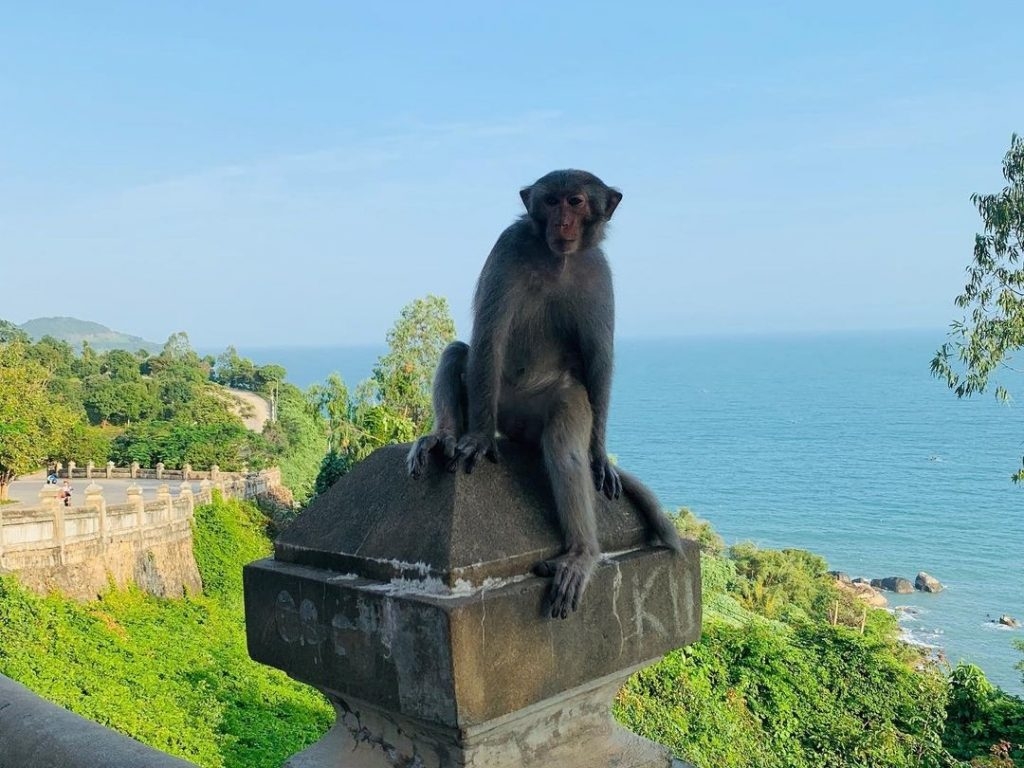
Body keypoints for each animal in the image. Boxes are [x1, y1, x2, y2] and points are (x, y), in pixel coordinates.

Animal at [407, 169, 682, 619]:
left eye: (576, 201)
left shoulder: (597, 271)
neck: (558, 259)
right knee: (459, 353)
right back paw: (443, 436)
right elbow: (488, 335)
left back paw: (582, 554)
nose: (563, 222)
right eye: (551, 201)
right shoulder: (509, 247)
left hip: (545, 405)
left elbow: (598, 361)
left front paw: (599, 455)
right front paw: (477, 438)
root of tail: (517, 427)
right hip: (497, 401)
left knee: (565, 443)